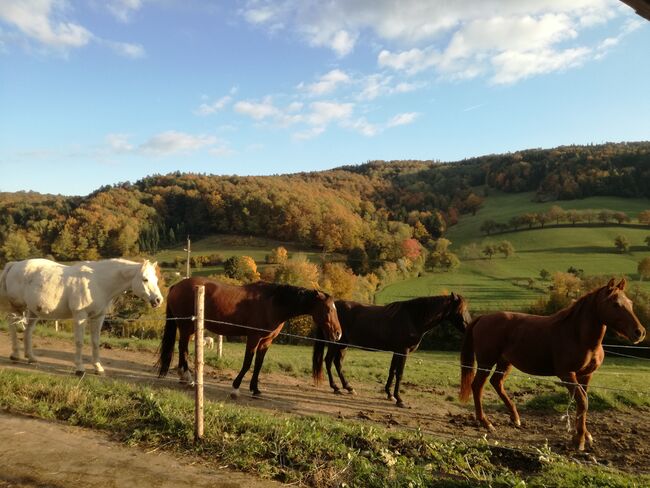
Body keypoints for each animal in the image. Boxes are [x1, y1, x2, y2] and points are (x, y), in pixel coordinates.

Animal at [0, 258, 162, 376]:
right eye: (145, 279)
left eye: (156, 280)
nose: (158, 300)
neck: (98, 282)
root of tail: (14, 265)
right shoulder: (80, 316)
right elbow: (79, 342)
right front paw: (79, 368)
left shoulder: (98, 317)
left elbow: (95, 342)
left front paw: (98, 368)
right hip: (16, 307)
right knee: (13, 326)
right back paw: (15, 354)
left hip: (34, 311)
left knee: (27, 330)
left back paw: (31, 358)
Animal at [159, 276, 342, 398]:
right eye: (328, 309)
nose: (338, 333)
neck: (273, 303)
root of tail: (177, 286)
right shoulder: (253, 338)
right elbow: (247, 363)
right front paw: (235, 387)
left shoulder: (266, 342)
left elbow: (258, 364)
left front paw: (255, 389)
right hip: (186, 326)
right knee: (183, 349)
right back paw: (189, 378)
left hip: (189, 328)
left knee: (182, 349)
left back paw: (183, 377)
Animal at [312, 292, 468, 406]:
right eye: (461, 310)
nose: (469, 327)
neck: (413, 317)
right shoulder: (403, 351)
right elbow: (399, 374)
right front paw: (399, 399)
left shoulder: (397, 351)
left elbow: (392, 371)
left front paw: (389, 394)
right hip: (335, 343)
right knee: (328, 361)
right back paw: (336, 387)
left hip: (343, 345)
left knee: (337, 363)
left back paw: (348, 387)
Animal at [458, 278, 644, 450]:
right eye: (615, 304)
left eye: (630, 303)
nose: (640, 332)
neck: (577, 335)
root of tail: (483, 317)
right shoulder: (567, 374)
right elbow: (583, 402)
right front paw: (579, 440)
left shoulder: (585, 375)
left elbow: (583, 403)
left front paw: (584, 435)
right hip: (486, 362)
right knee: (477, 386)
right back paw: (486, 422)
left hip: (505, 362)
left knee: (496, 383)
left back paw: (515, 418)